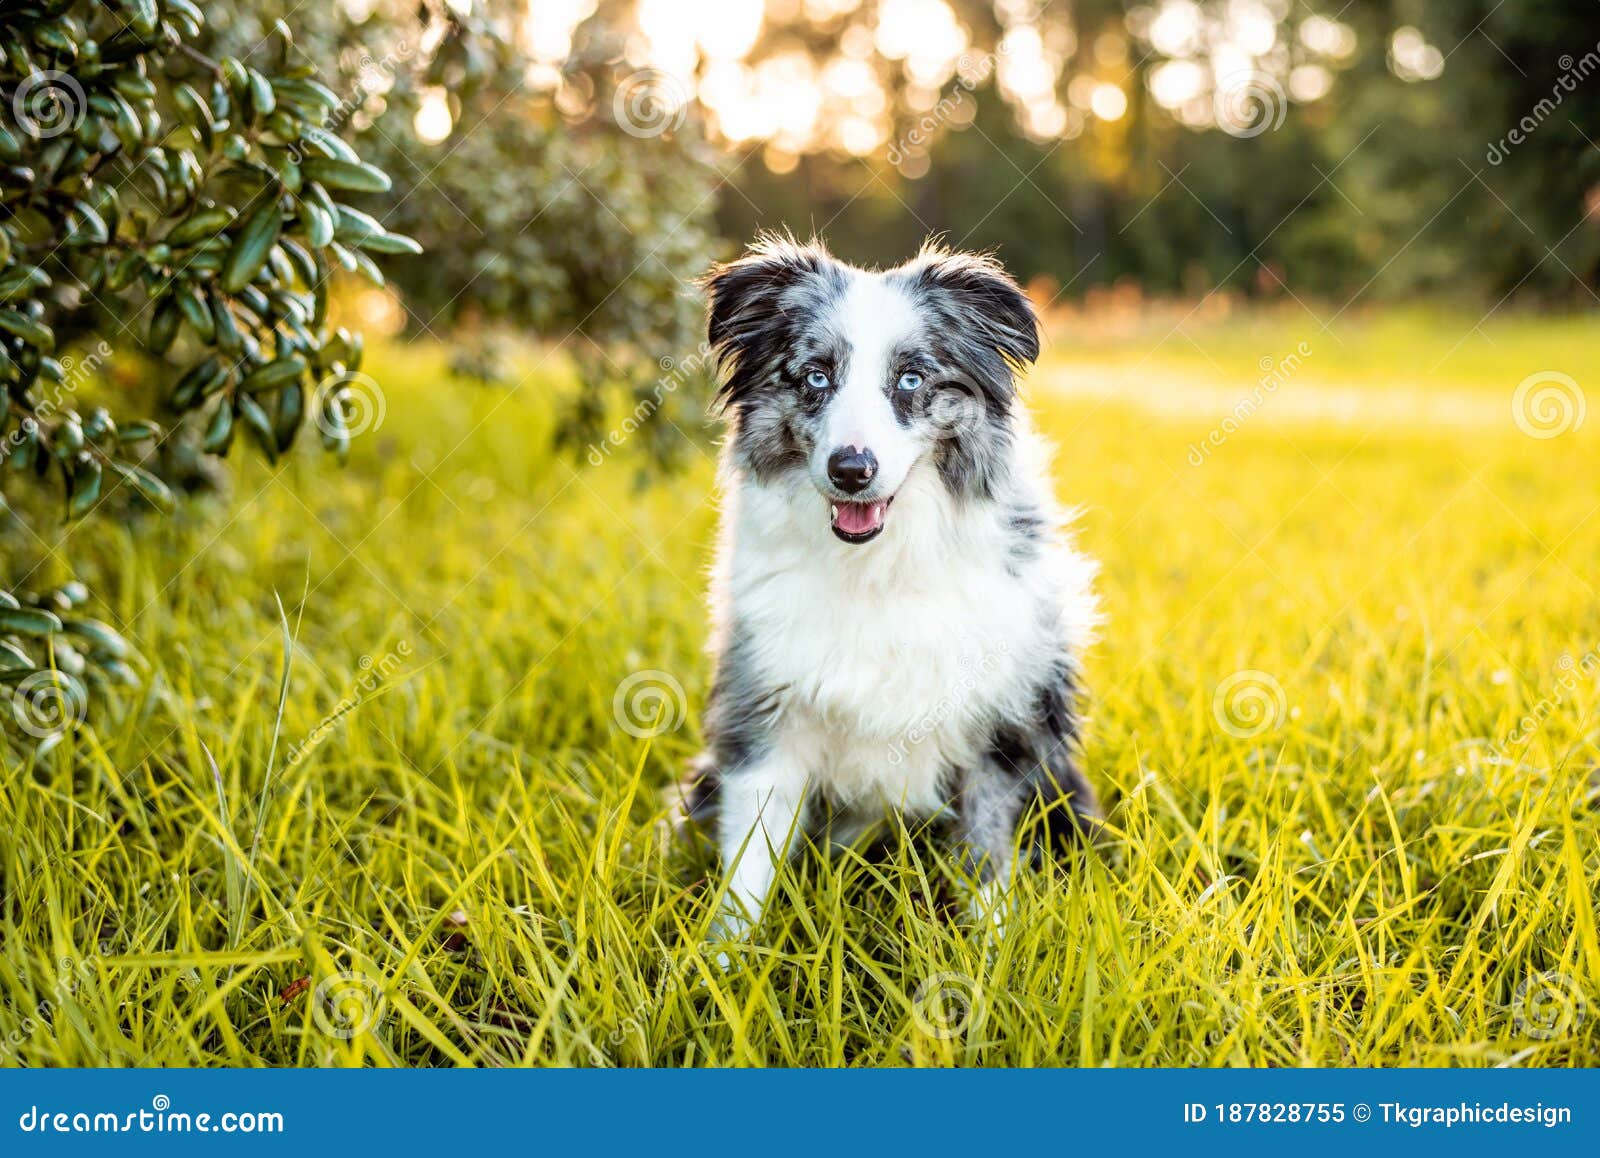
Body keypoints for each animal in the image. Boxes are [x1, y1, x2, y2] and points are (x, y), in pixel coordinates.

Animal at [675, 233, 1100, 940]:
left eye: (911, 379)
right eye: (816, 376)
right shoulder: (766, 714)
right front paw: (721, 962)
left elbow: (988, 864)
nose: (852, 469)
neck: (880, 564)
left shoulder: (1002, 732)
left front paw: (991, 957)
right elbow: (747, 871)